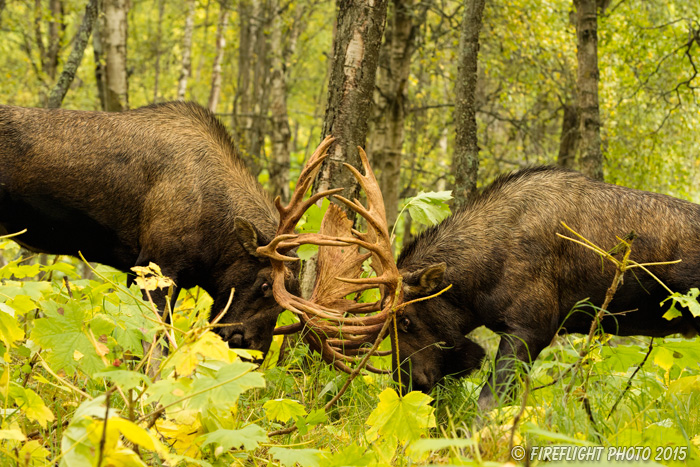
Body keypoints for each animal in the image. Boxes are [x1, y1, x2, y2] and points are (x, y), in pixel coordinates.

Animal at [0, 101, 290, 354]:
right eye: (265, 285)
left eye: (284, 308)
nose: (254, 349)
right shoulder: (155, 266)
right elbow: (154, 345)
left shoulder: (147, 272)